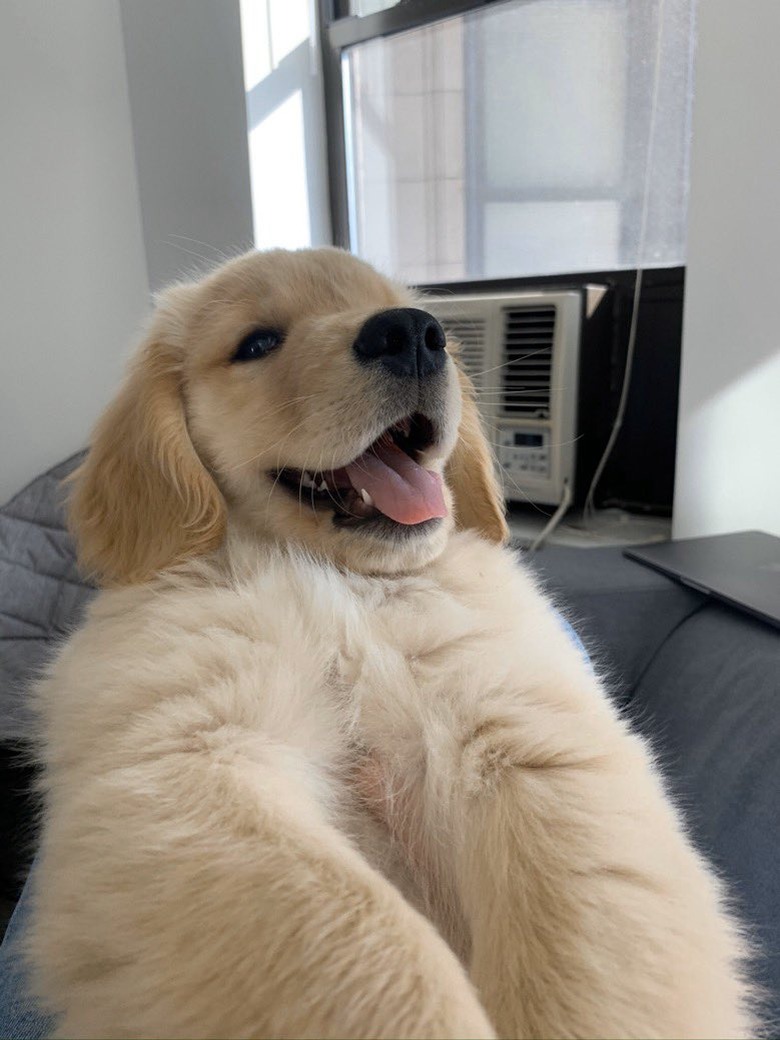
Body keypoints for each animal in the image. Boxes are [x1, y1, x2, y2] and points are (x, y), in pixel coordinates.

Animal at [27, 247, 752, 1035]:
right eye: (256, 343)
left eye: (417, 317)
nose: (412, 332)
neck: (349, 586)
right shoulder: (188, 762)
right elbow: (360, 942)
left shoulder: (526, 734)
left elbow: (588, 944)